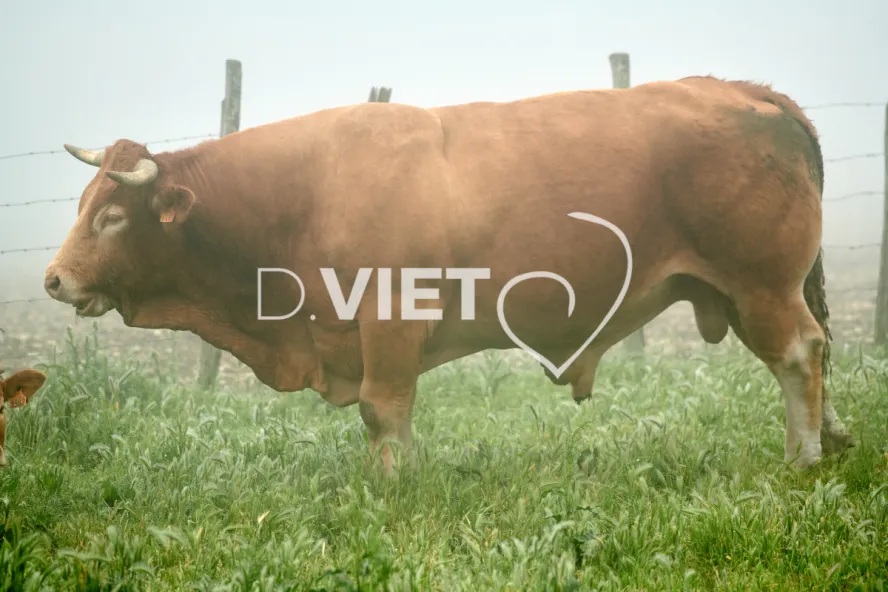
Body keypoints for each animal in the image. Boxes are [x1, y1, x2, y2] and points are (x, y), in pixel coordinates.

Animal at [44, 75, 855, 475]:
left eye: (110, 216)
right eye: (82, 204)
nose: (52, 280)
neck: (305, 193)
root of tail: (744, 90)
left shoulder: (389, 319)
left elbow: (384, 410)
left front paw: (395, 485)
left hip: (761, 284)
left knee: (799, 354)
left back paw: (804, 457)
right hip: (744, 290)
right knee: (809, 357)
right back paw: (828, 438)